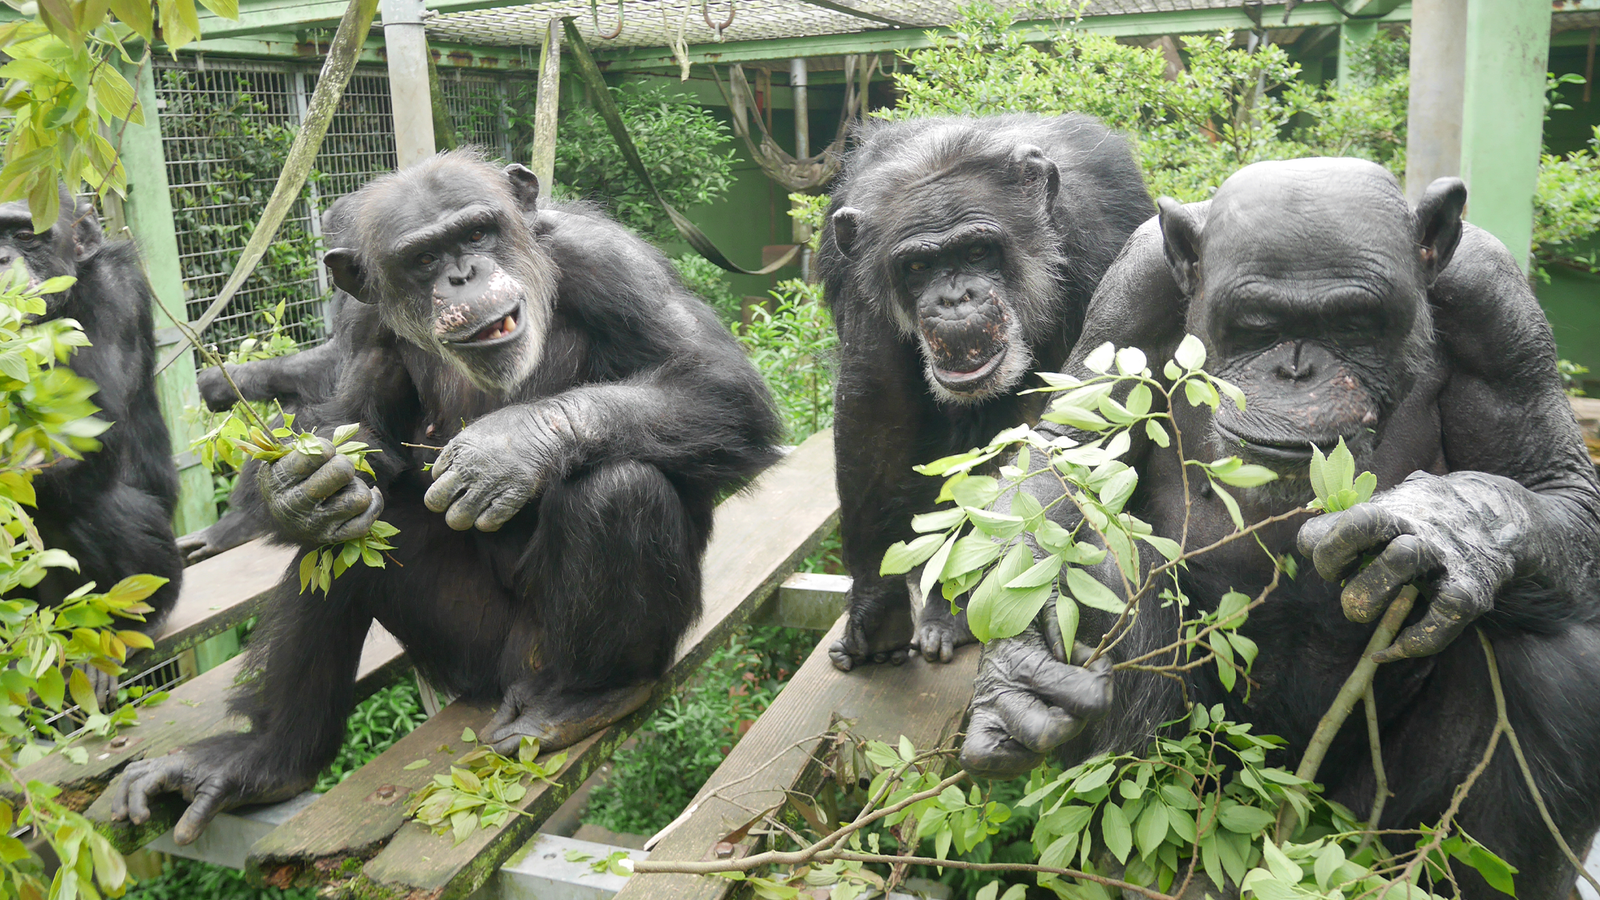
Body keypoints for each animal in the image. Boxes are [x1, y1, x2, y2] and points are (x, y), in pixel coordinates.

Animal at [108, 150, 780, 845]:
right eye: (424, 258)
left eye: (477, 233)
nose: (463, 274)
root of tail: (514, 679)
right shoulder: (362, 320)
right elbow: (356, 430)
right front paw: (295, 487)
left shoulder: (611, 261)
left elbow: (720, 383)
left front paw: (509, 447)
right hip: (468, 654)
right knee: (347, 544)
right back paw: (265, 758)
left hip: (550, 654)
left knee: (621, 488)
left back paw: (586, 698)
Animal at [825, 112, 1152, 669]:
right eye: (917, 267)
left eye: (978, 251)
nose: (955, 298)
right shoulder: (861, 280)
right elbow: (875, 407)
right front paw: (876, 608)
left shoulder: (1102, 239)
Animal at [960, 157, 1600, 890]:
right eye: (1257, 325)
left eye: (1354, 323)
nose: (1296, 368)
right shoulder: (1132, 289)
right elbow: (1069, 452)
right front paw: (1016, 670)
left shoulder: (1497, 308)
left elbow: (1555, 482)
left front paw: (1444, 526)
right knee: (1102, 569)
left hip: (1356, 824)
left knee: (1558, 657)